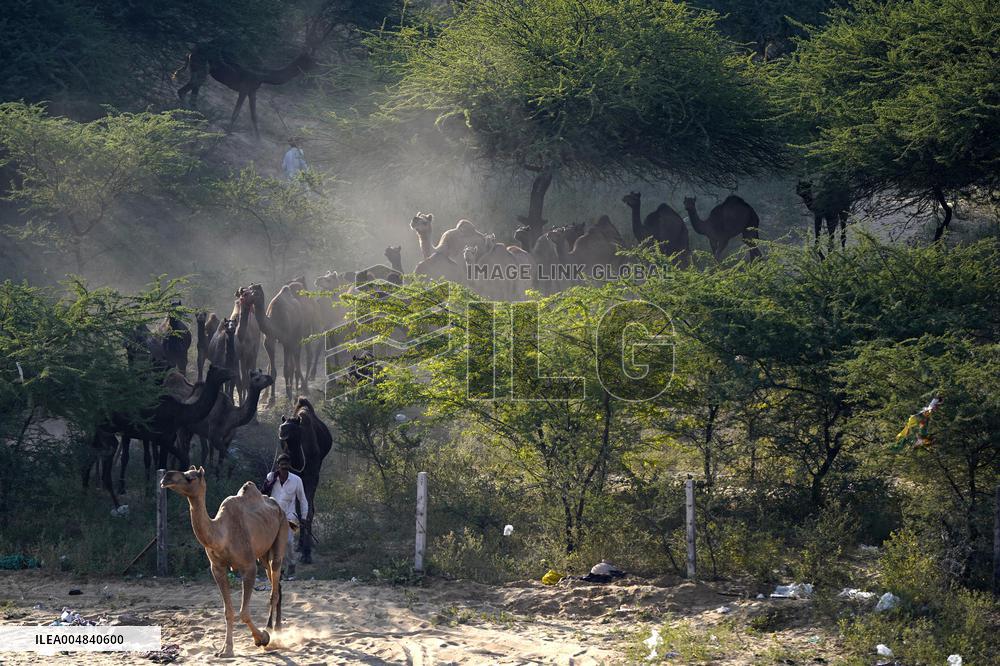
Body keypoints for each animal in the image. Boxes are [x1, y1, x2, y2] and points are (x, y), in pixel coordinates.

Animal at [161, 467, 286, 657]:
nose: (166, 477)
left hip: (280, 534)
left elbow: (243, 612)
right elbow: (228, 611)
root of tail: (278, 506)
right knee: (276, 584)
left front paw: (262, 638)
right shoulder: (217, 568)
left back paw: (272, 630)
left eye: (191, 477)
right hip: (263, 555)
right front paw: (226, 650)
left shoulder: (248, 566)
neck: (222, 535)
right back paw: (275, 628)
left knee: (275, 584)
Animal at [277, 397, 332, 564]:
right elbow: (299, 509)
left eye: (294, 428)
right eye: (283, 424)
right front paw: (302, 548)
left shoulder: (312, 475)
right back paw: (300, 544)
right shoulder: (296, 476)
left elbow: (308, 510)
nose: (282, 430)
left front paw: (307, 553)